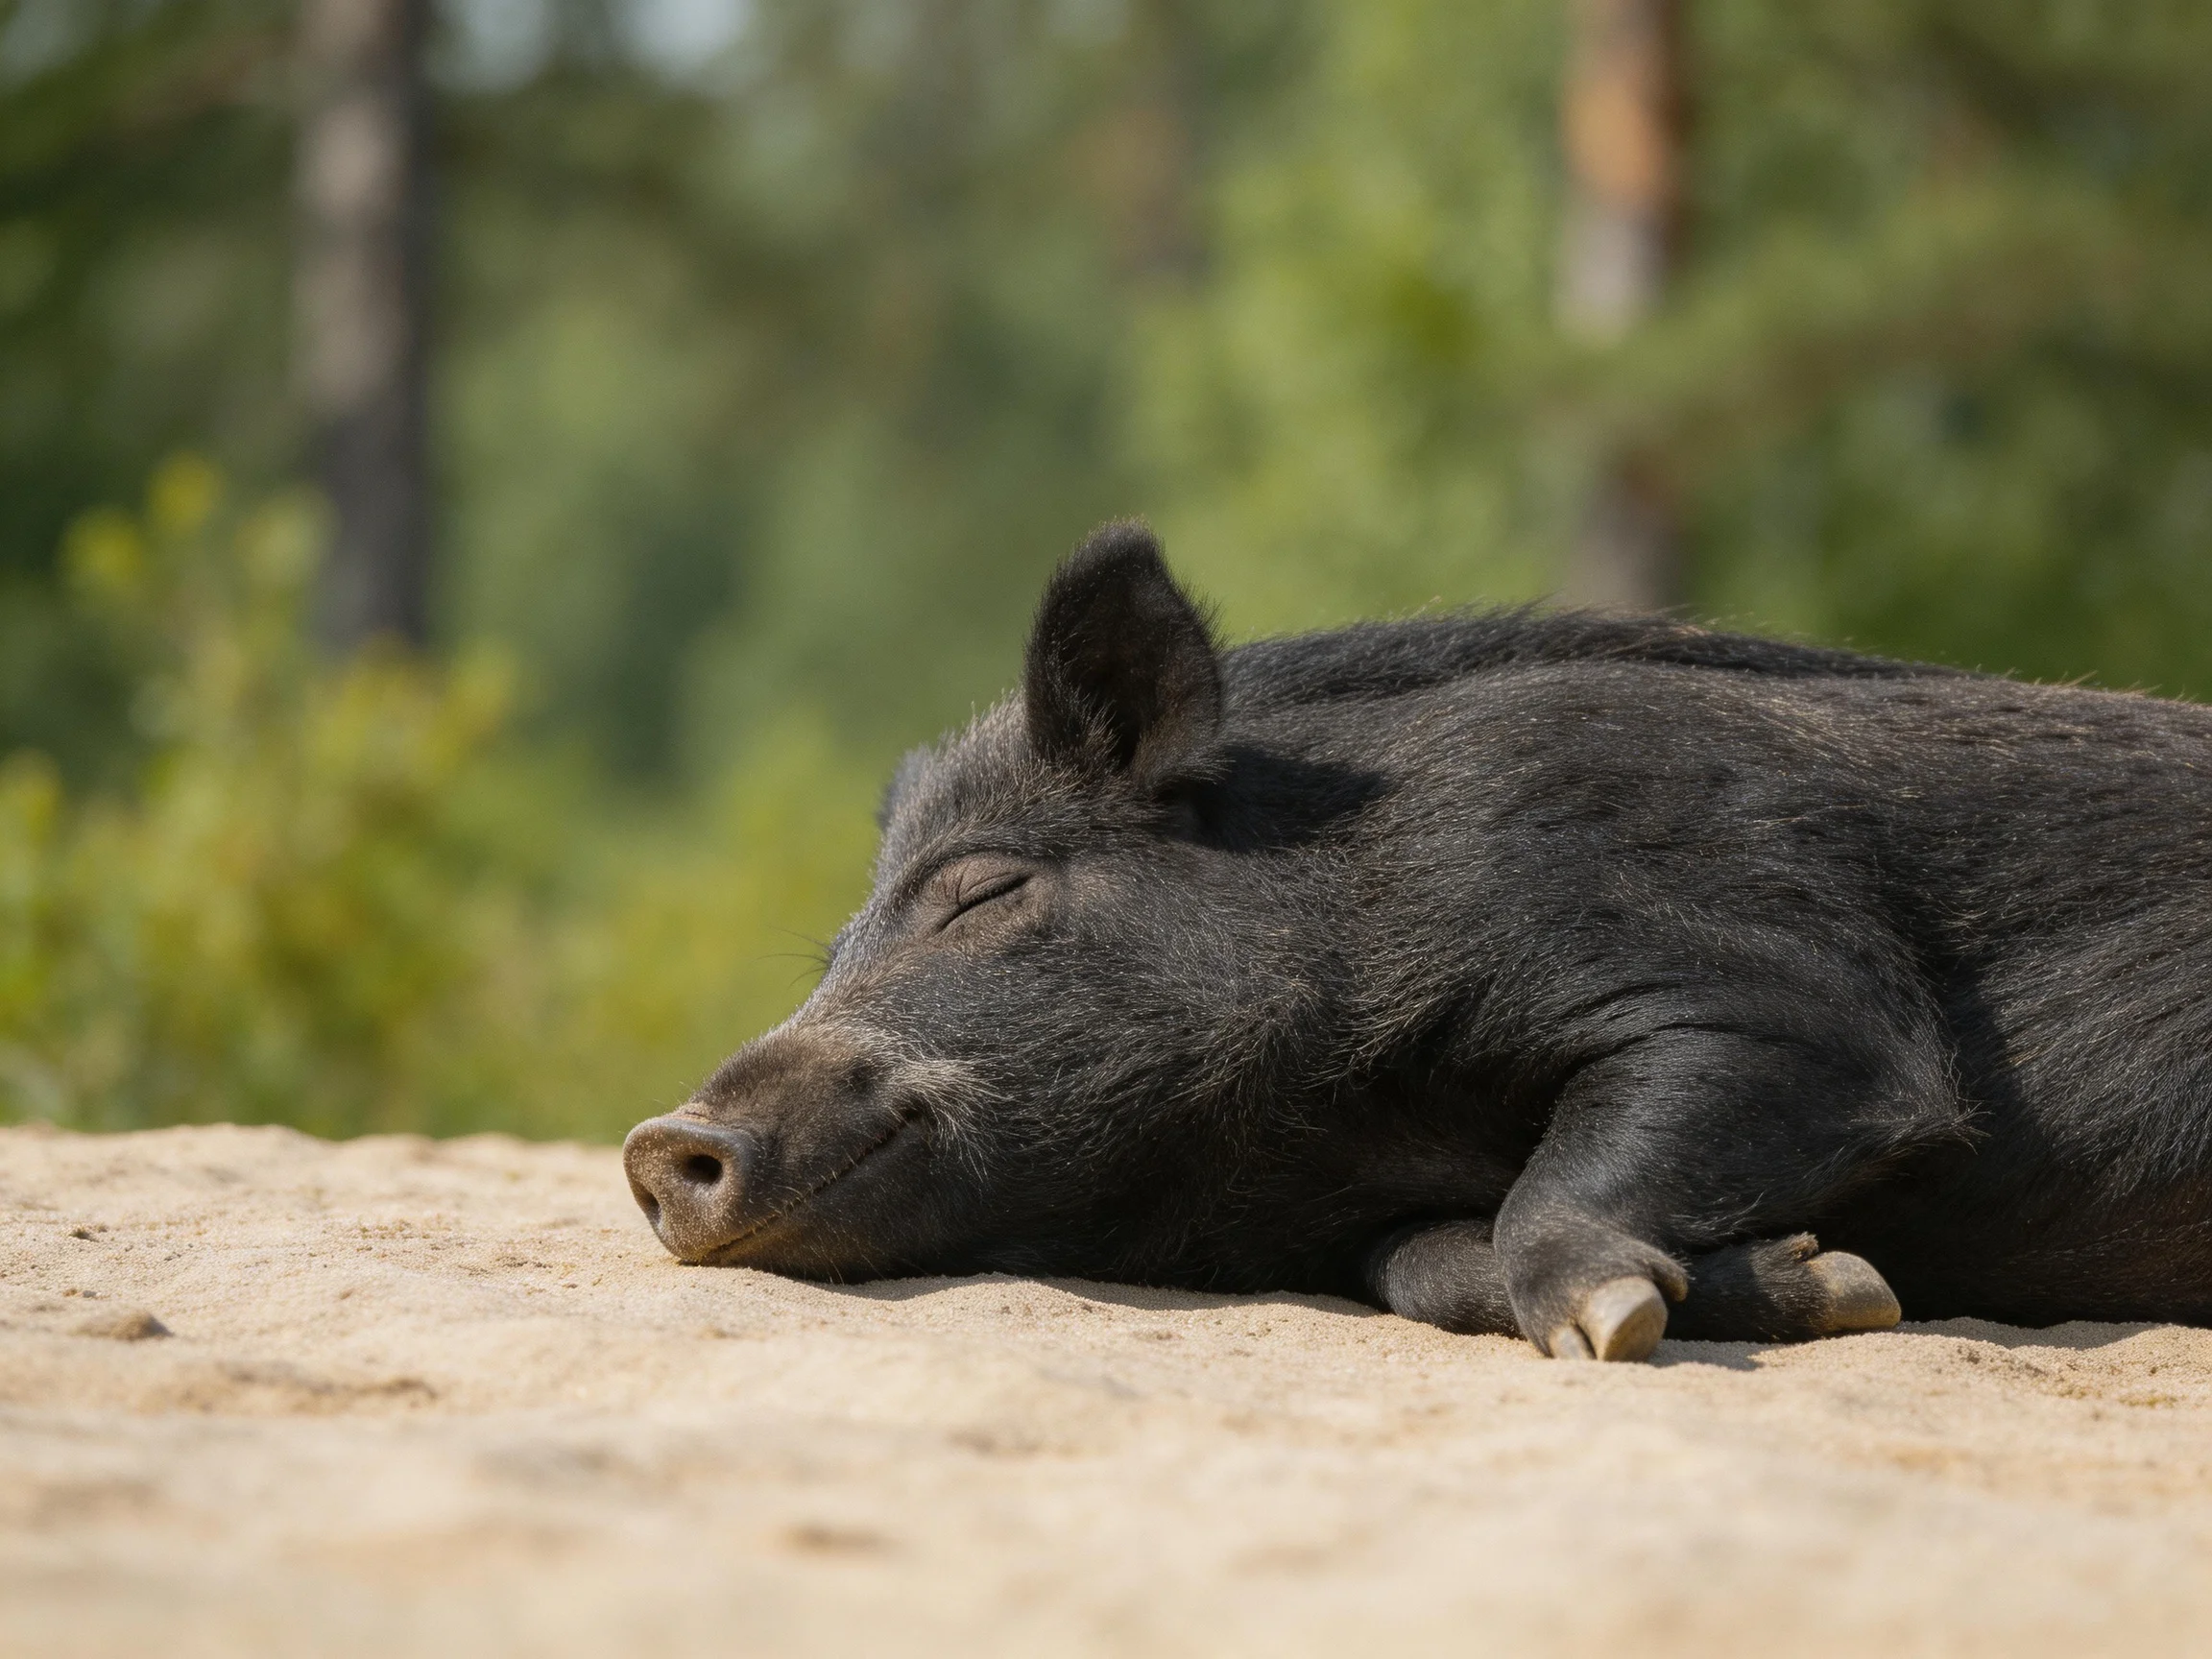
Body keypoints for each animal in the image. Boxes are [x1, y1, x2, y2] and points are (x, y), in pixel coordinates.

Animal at [624, 523, 2212, 1360]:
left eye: (980, 894)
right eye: (835, 946)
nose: (657, 1143)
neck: (1340, 1126)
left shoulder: (1764, 975)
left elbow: (1596, 1160)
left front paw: (1619, 1324)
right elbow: (1425, 1265)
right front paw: (1838, 1285)